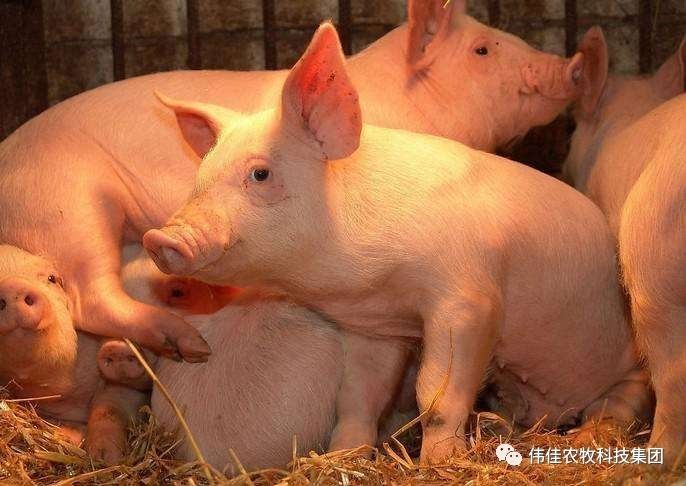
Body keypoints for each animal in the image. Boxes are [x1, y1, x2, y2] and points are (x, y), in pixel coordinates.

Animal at [143, 23, 651, 464]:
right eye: (201, 175)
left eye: (260, 174)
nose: (159, 237)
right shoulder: (376, 327)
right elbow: (357, 397)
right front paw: (343, 457)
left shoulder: (468, 301)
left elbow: (438, 395)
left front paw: (440, 462)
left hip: (630, 367)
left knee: (620, 403)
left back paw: (587, 435)